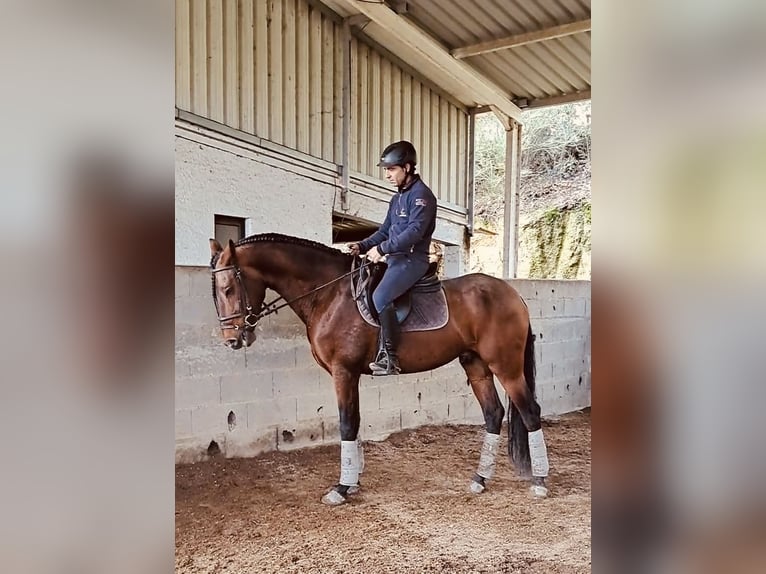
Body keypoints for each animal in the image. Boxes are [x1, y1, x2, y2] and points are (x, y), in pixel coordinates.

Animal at [207, 232, 548, 506]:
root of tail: (515, 296)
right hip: (476, 365)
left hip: (506, 367)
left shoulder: (343, 371)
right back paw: (480, 480)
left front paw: (341, 488)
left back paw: (540, 482)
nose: (233, 340)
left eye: (228, 288)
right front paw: (353, 481)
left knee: (530, 412)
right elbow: (355, 422)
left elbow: (346, 424)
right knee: (493, 413)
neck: (329, 294)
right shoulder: (349, 374)